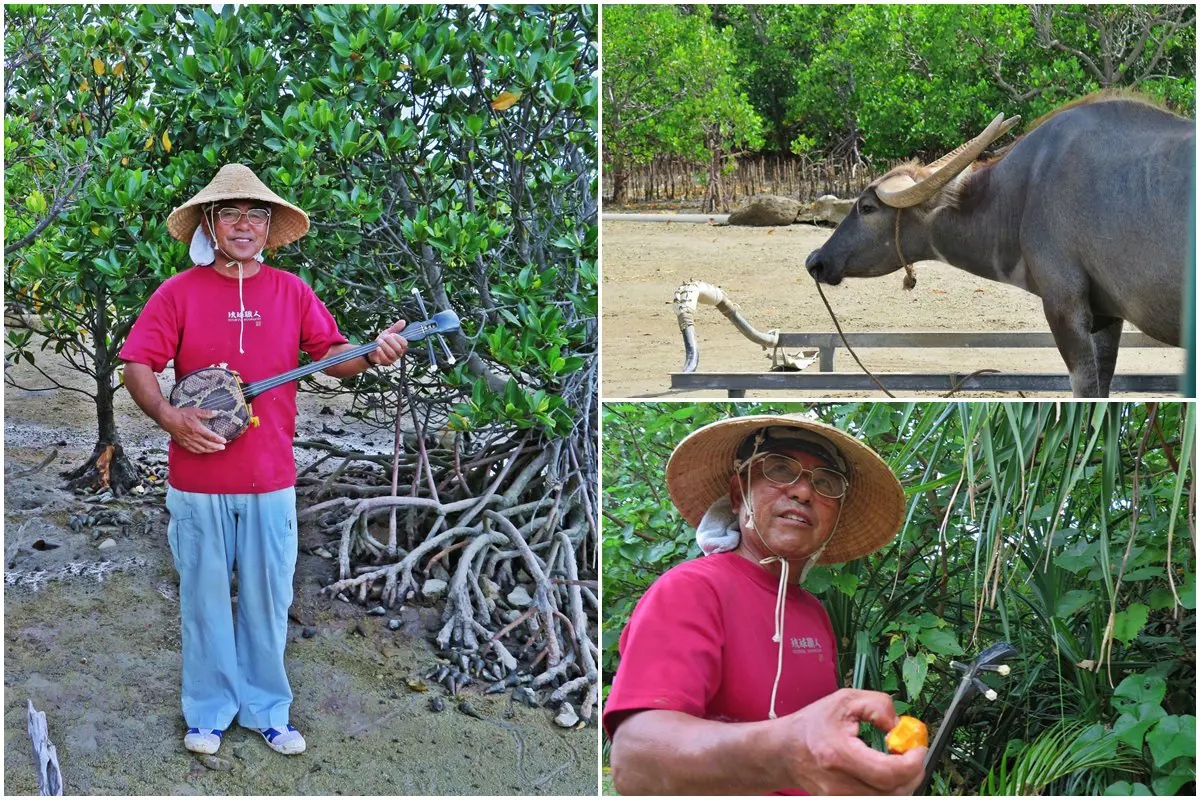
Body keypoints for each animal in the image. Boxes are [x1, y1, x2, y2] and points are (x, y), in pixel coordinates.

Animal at [806, 97, 1190, 398]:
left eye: (867, 207)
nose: (816, 260)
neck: (1021, 196)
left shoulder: (1065, 306)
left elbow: (1085, 387)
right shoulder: (1107, 316)